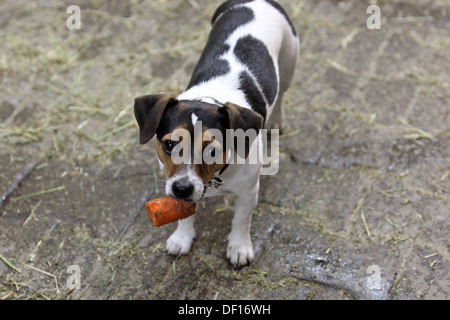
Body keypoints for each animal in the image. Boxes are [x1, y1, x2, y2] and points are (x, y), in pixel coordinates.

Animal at [135, 0, 300, 268]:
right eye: (169, 145)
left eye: (212, 150)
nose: (182, 189)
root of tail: (254, 2)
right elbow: (185, 215)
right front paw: (182, 237)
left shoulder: (248, 192)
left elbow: (241, 220)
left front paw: (239, 248)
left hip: (288, 61)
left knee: (282, 92)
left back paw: (276, 120)